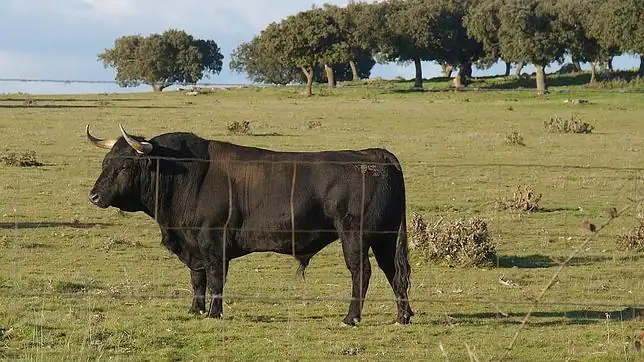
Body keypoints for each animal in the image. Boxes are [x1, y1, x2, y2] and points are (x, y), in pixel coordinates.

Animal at [85, 125, 416, 326]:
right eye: (105, 162)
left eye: (124, 165)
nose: (94, 195)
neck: (188, 176)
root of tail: (375, 155)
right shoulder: (194, 247)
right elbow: (197, 280)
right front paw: (194, 309)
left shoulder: (213, 244)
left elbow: (215, 280)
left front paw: (213, 313)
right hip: (385, 238)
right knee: (394, 273)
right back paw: (403, 316)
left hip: (355, 237)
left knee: (362, 272)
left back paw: (352, 317)